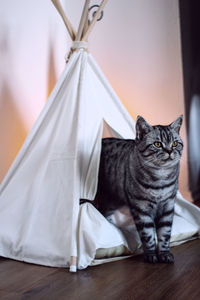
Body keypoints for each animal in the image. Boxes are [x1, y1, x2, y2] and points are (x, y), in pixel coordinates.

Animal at [94, 116, 184, 264]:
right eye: (157, 144)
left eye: (175, 143)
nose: (170, 151)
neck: (160, 179)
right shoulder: (141, 209)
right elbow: (148, 234)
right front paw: (151, 254)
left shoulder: (168, 206)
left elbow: (165, 233)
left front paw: (164, 253)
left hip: (112, 201)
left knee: (104, 212)